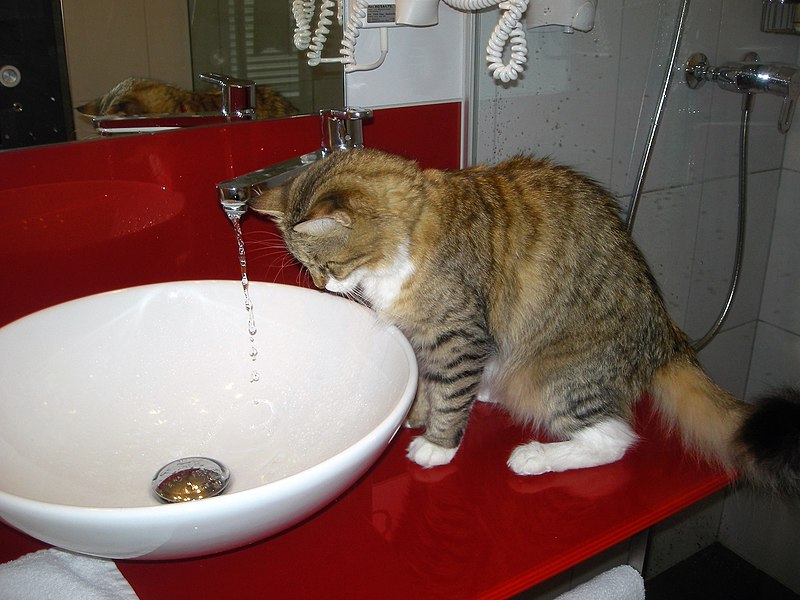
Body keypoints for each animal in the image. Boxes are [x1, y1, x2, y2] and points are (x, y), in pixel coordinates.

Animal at [252, 146, 800, 492]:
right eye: (307, 267)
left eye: (327, 265)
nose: (321, 286)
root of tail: (665, 331)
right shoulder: (425, 338)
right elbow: (429, 384)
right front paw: (418, 414)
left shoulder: (459, 333)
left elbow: (449, 395)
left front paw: (438, 445)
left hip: (560, 377)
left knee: (615, 439)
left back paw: (535, 456)